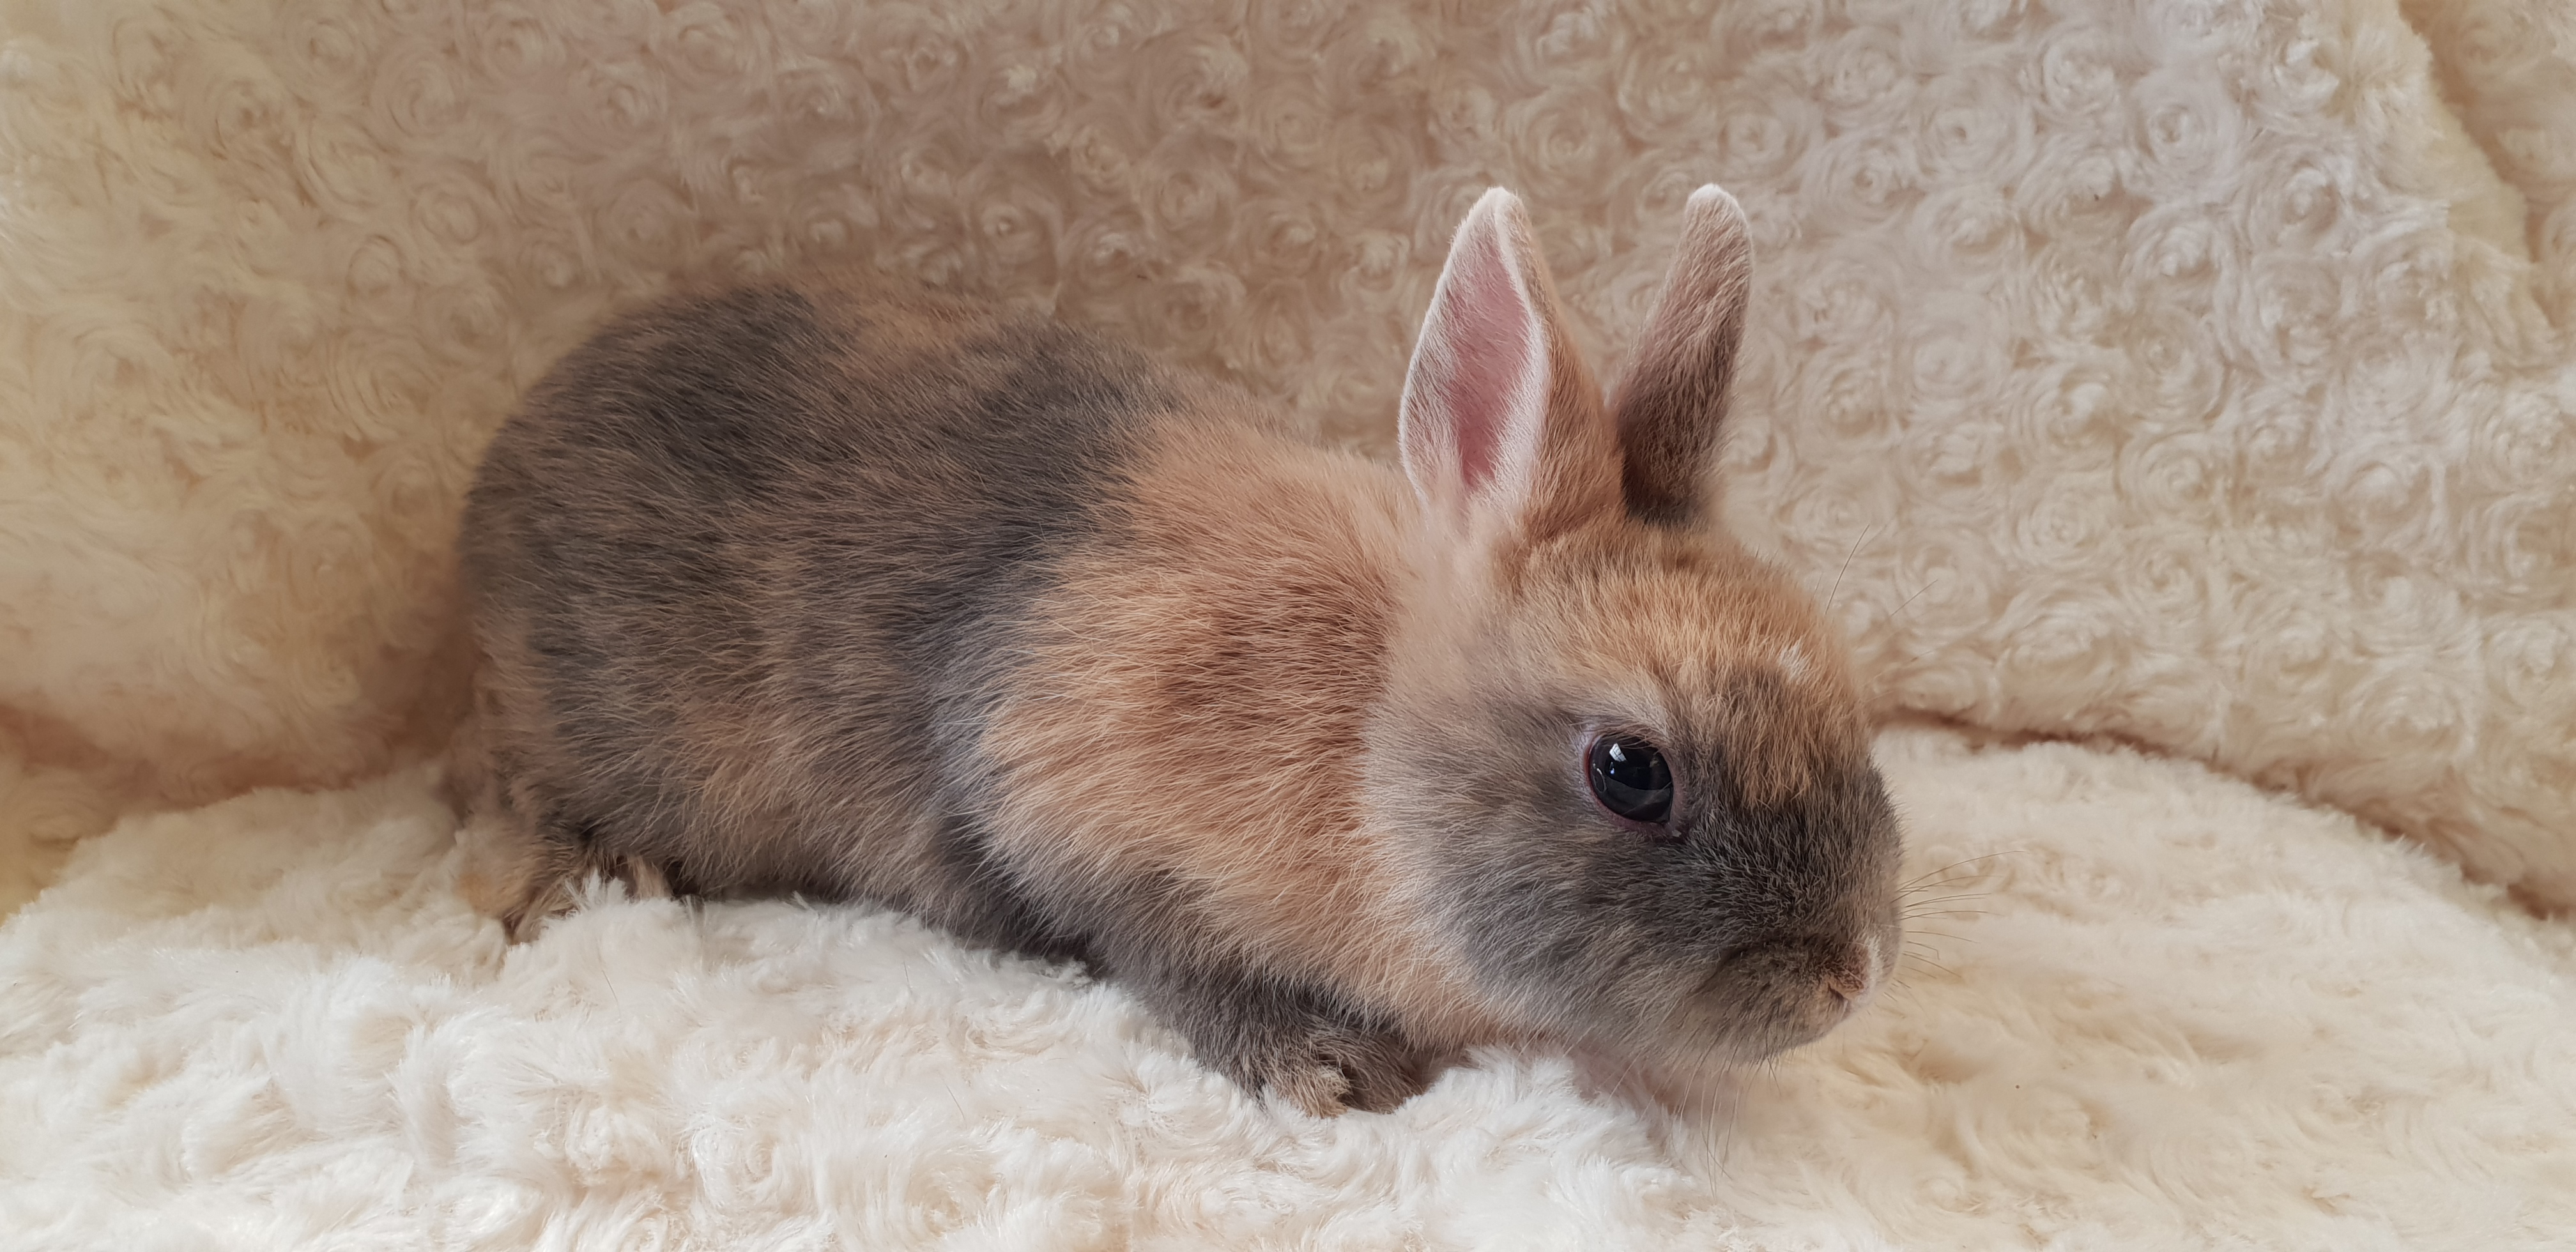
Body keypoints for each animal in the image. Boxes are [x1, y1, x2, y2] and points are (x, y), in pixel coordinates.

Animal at [446, 184, 1903, 1116]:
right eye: (1628, 770)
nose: (1851, 977)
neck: (1366, 747)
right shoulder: (1067, 807)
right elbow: (1157, 951)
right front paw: (1333, 1068)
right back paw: (569, 884)